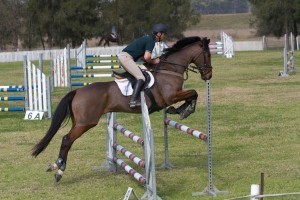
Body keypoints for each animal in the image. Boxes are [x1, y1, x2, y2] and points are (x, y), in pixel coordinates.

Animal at [31, 36, 212, 182]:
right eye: (208, 55)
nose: (208, 76)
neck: (169, 70)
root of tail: (77, 91)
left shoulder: (173, 97)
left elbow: (191, 96)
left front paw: (179, 111)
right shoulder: (170, 97)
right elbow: (193, 94)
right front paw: (184, 111)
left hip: (79, 122)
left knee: (67, 140)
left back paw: (56, 167)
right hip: (86, 123)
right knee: (67, 140)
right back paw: (59, 169)